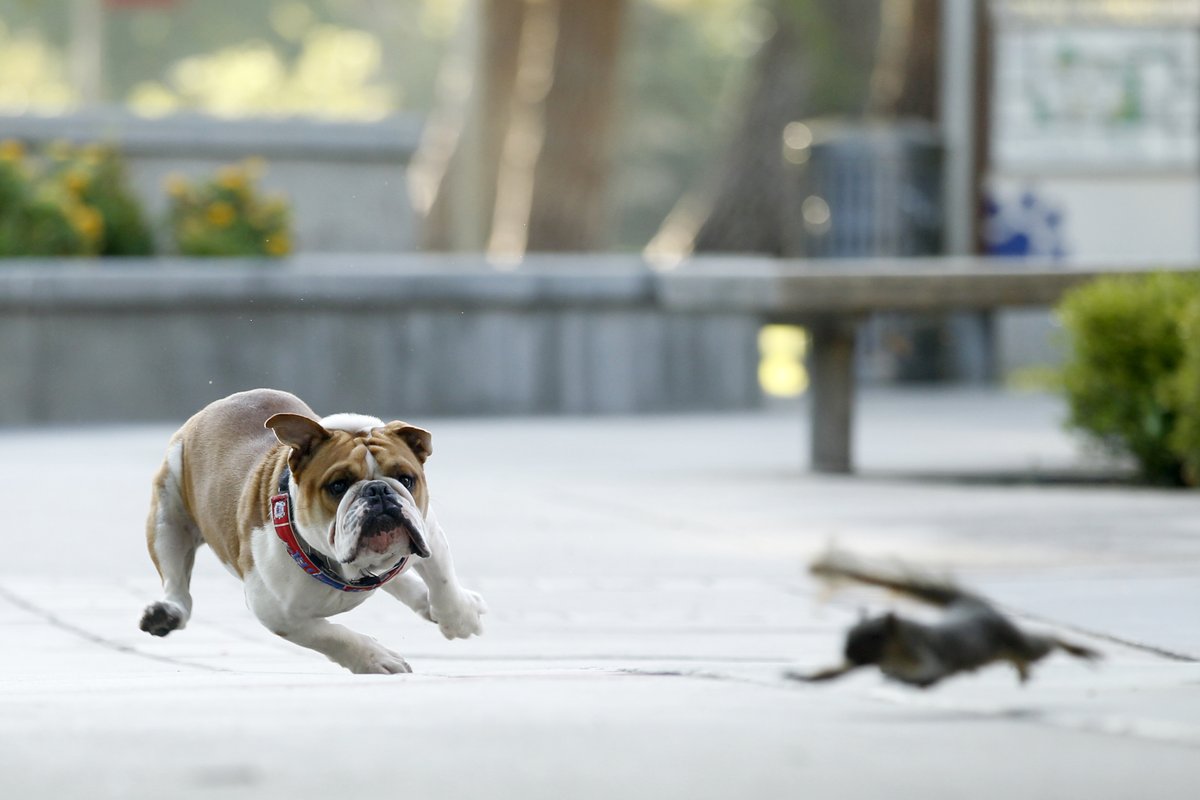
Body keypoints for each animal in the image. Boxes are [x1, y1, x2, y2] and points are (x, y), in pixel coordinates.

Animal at [786, 549, 1101, 689]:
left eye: (874, 638)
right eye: (847, 635)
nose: (848, 653)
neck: (893, 654)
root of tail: (971, 605)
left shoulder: (928, 655)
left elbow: (930, 674)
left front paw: (901, 680)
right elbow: (830, 675)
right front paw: (804, 676)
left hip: (1015, 638)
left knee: (1047, 641)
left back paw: (1083, 651)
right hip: (999, 651)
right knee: (1021, 657)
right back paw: (1024, 674)